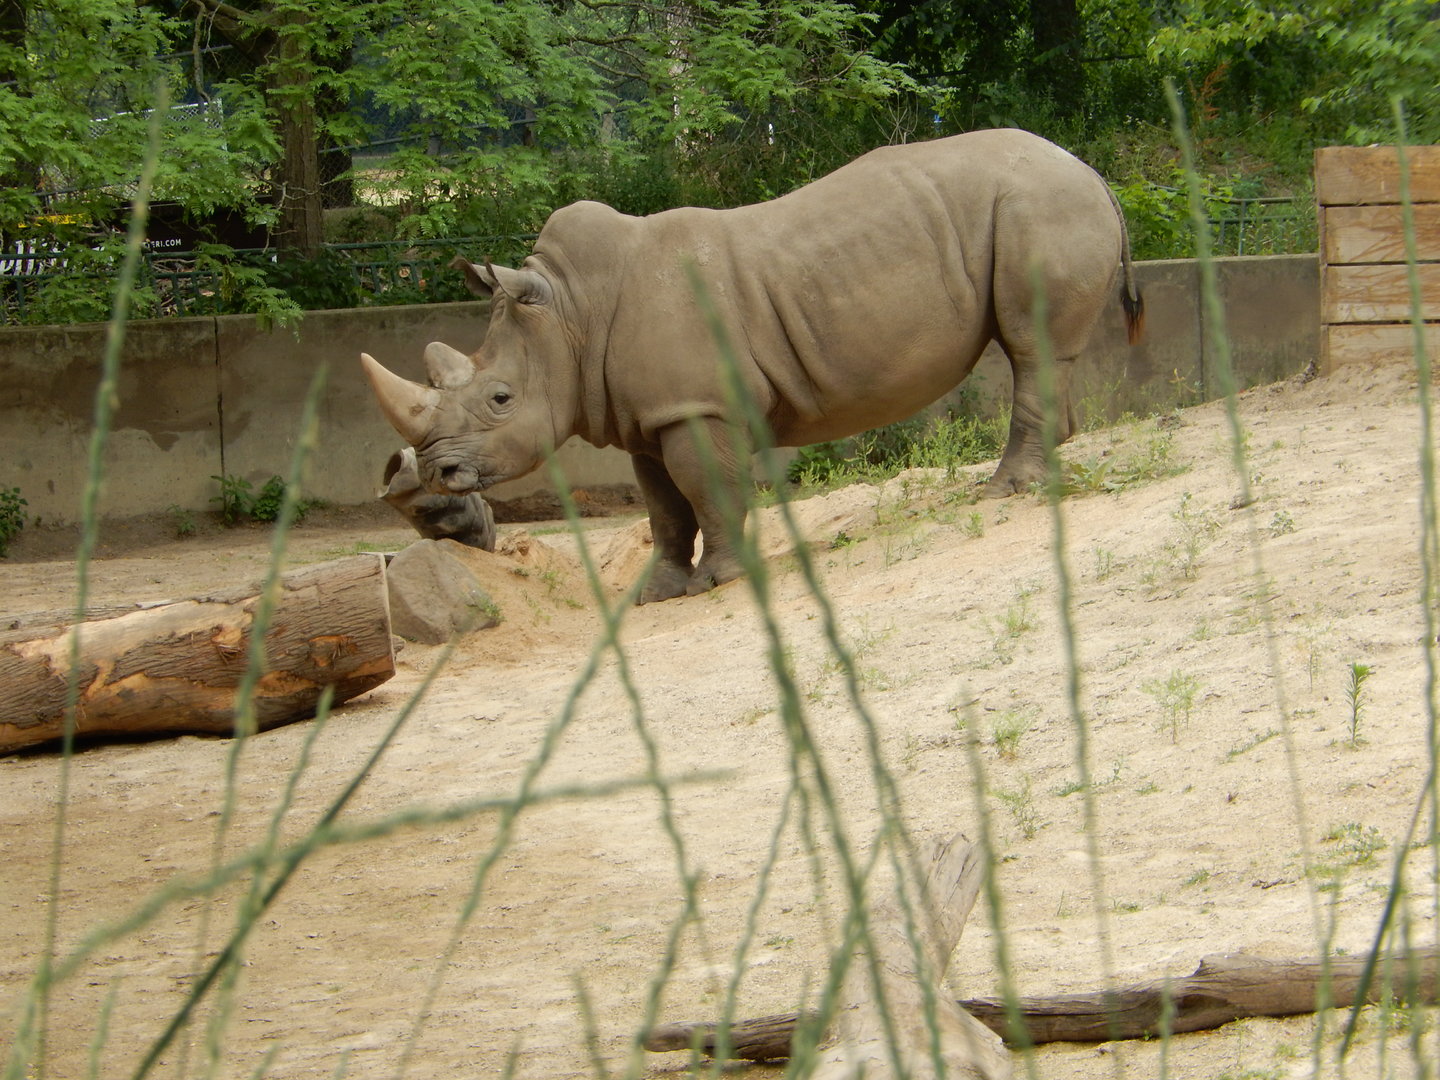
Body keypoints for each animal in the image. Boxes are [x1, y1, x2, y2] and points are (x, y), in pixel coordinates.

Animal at [361, 128, 1144, 604]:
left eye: (500, 398)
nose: (438, 475)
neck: (572, 314)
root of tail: (1093, 171)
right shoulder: (648, 414)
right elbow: (663, 506)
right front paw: (656, 593)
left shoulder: (695, 405)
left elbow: (706, 487)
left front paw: (721, 582)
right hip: (1038, 204)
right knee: (1039, 352)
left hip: (1039, 206)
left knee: (1028, 344)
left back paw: (1007, 490)